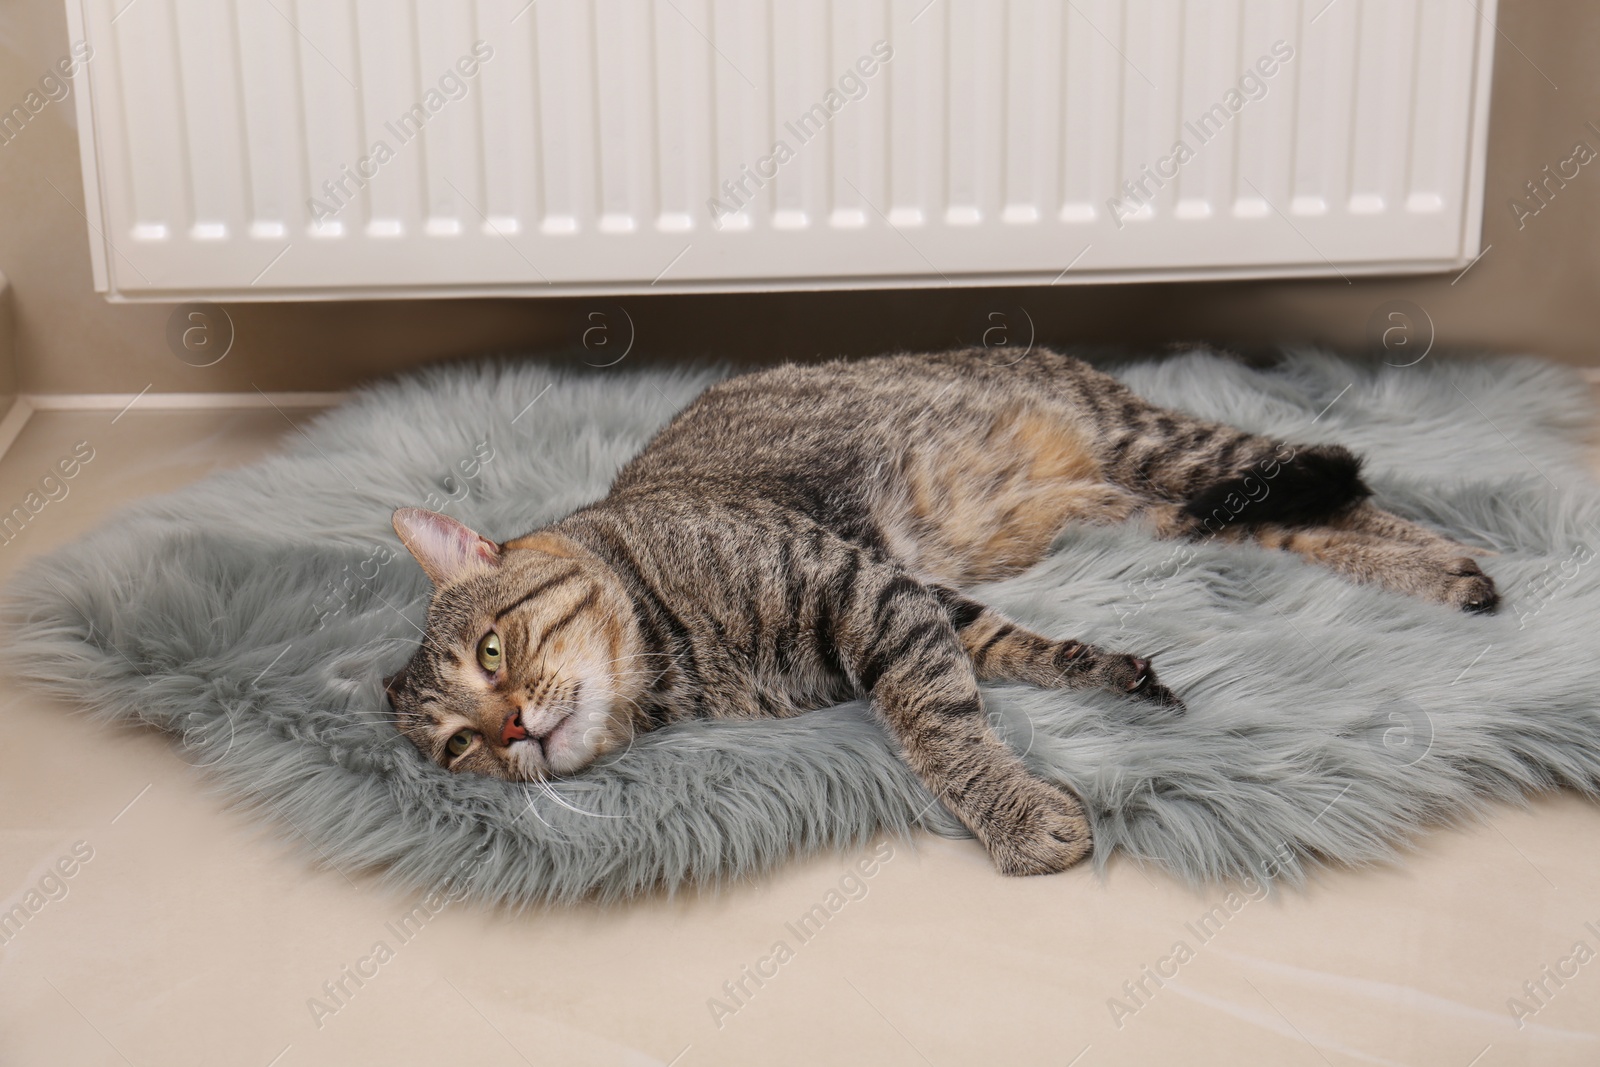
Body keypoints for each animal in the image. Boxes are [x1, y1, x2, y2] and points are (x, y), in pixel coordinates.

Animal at [387, 350, 1497, 876]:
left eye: (493, 651)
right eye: (457, 748)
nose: (512, 731)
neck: (680, 665)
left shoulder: (864, 594)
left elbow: (935, 727)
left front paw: (1012, 813)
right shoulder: (920, 598)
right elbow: (1011, 650)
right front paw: (1098, 671)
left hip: (1157, 451)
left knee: (1323, 479)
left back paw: (1450, 565)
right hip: (1166, 507)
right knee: (1294, 518)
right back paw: (1444, 573)